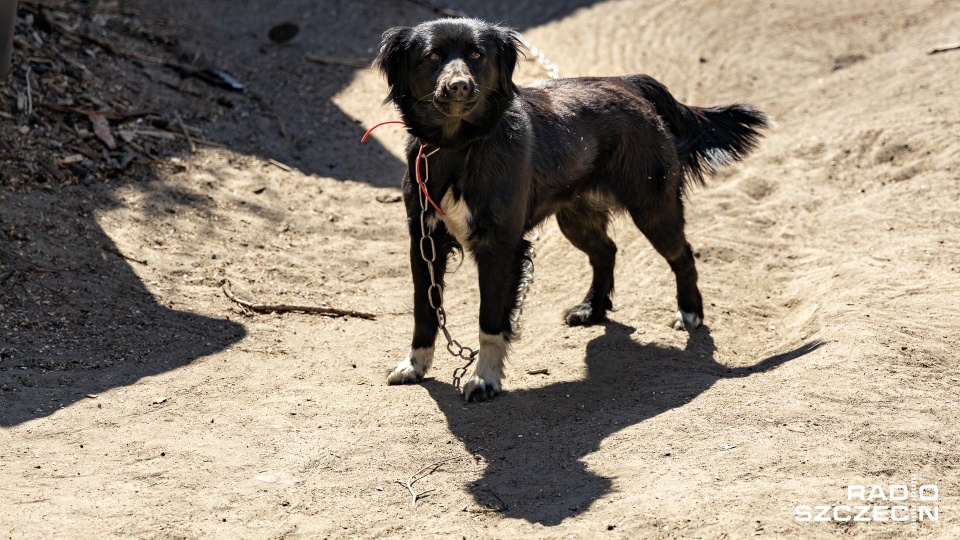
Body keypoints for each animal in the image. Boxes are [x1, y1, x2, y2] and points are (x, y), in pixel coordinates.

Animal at [374, 17, 764, 400]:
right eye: (431, 56)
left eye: (476, 54)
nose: (458, 87)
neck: (458, 147)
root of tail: (628, 83)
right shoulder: (424, 242)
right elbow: (424, 310)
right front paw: (415, 365)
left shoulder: (500, 247)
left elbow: (490, 319)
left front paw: (485, 379)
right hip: (575, 218)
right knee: (606, 250)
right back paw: (592, 307)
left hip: (653, 208)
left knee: (683, 255)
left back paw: (690, 312)